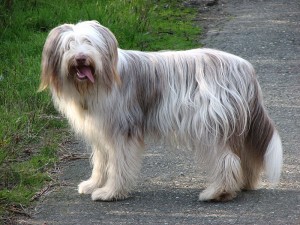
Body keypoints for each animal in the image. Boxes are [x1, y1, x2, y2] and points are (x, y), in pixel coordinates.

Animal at [38, 20, 282, 201]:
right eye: (69, 45)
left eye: (89, 43)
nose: (81, 58)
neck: (97, 82)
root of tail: (245, 68)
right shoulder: (101, 131)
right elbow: (101, 162)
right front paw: (93, 184)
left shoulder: (122, 131)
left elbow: (118, 164)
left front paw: (110, 192)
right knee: (244, 155)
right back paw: (243, 184)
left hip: (210, 124)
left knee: (227, 158)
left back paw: (217, 192)